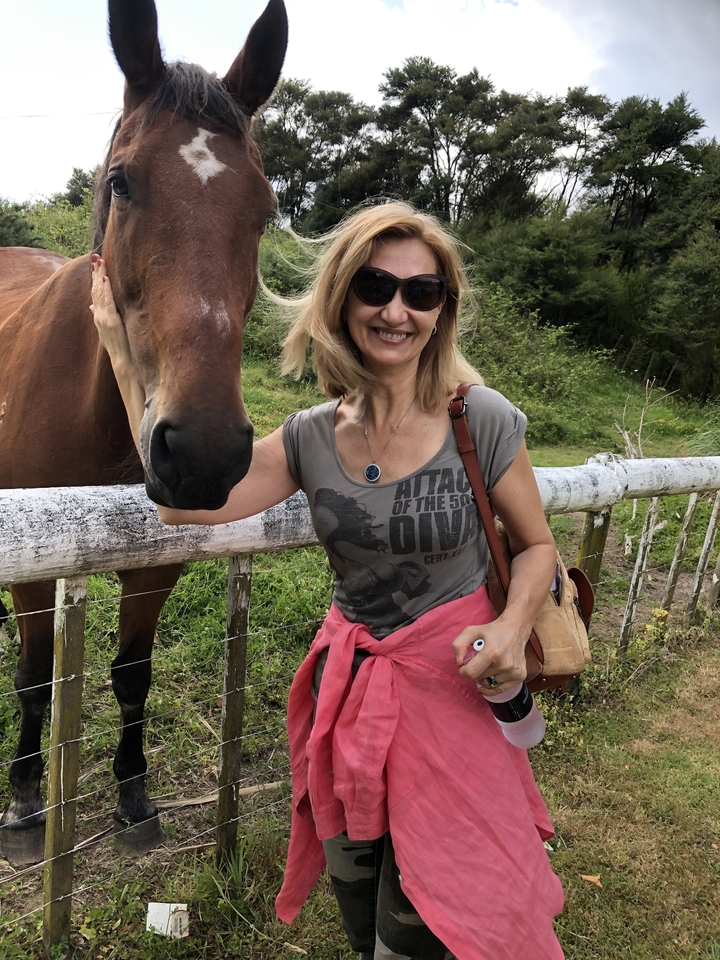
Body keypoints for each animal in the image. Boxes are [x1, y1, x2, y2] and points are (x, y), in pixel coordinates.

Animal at [0, 0, 288, 865]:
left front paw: (133, 794)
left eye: (265, 209)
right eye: (121, 181)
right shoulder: (34, 563)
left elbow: (133, 673)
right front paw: (25, 798)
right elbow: (34, 676)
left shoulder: (156, 563)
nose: (202, 452)